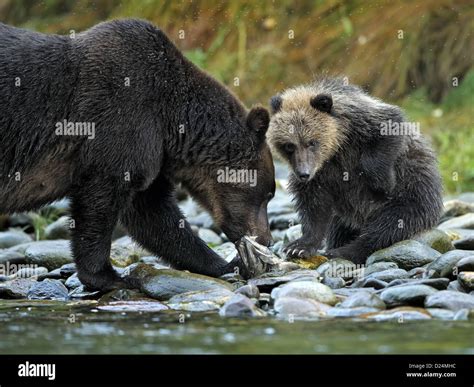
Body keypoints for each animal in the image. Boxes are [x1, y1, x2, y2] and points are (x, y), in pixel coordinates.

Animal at [0, 19, 276, 292]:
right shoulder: (122, 117)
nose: (267, 239)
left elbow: (153, 213)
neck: (171, 122)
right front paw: (109, 276)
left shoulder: (154, 153)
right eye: (267, 195)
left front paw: (225, 264)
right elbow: (101, 201)